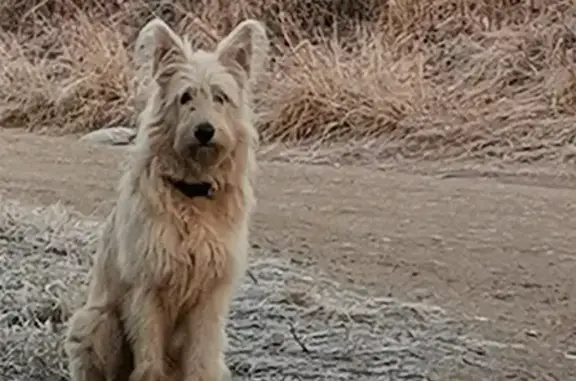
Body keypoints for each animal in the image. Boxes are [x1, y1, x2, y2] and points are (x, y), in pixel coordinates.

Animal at [64, 17, 272, 380]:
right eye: (185, 97)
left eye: (220, 97)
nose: (204, 131)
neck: (192, 192)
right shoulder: (148, 289)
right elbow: (149, 360)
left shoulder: (209, 297)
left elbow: (201, 361)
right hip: (96, 322)